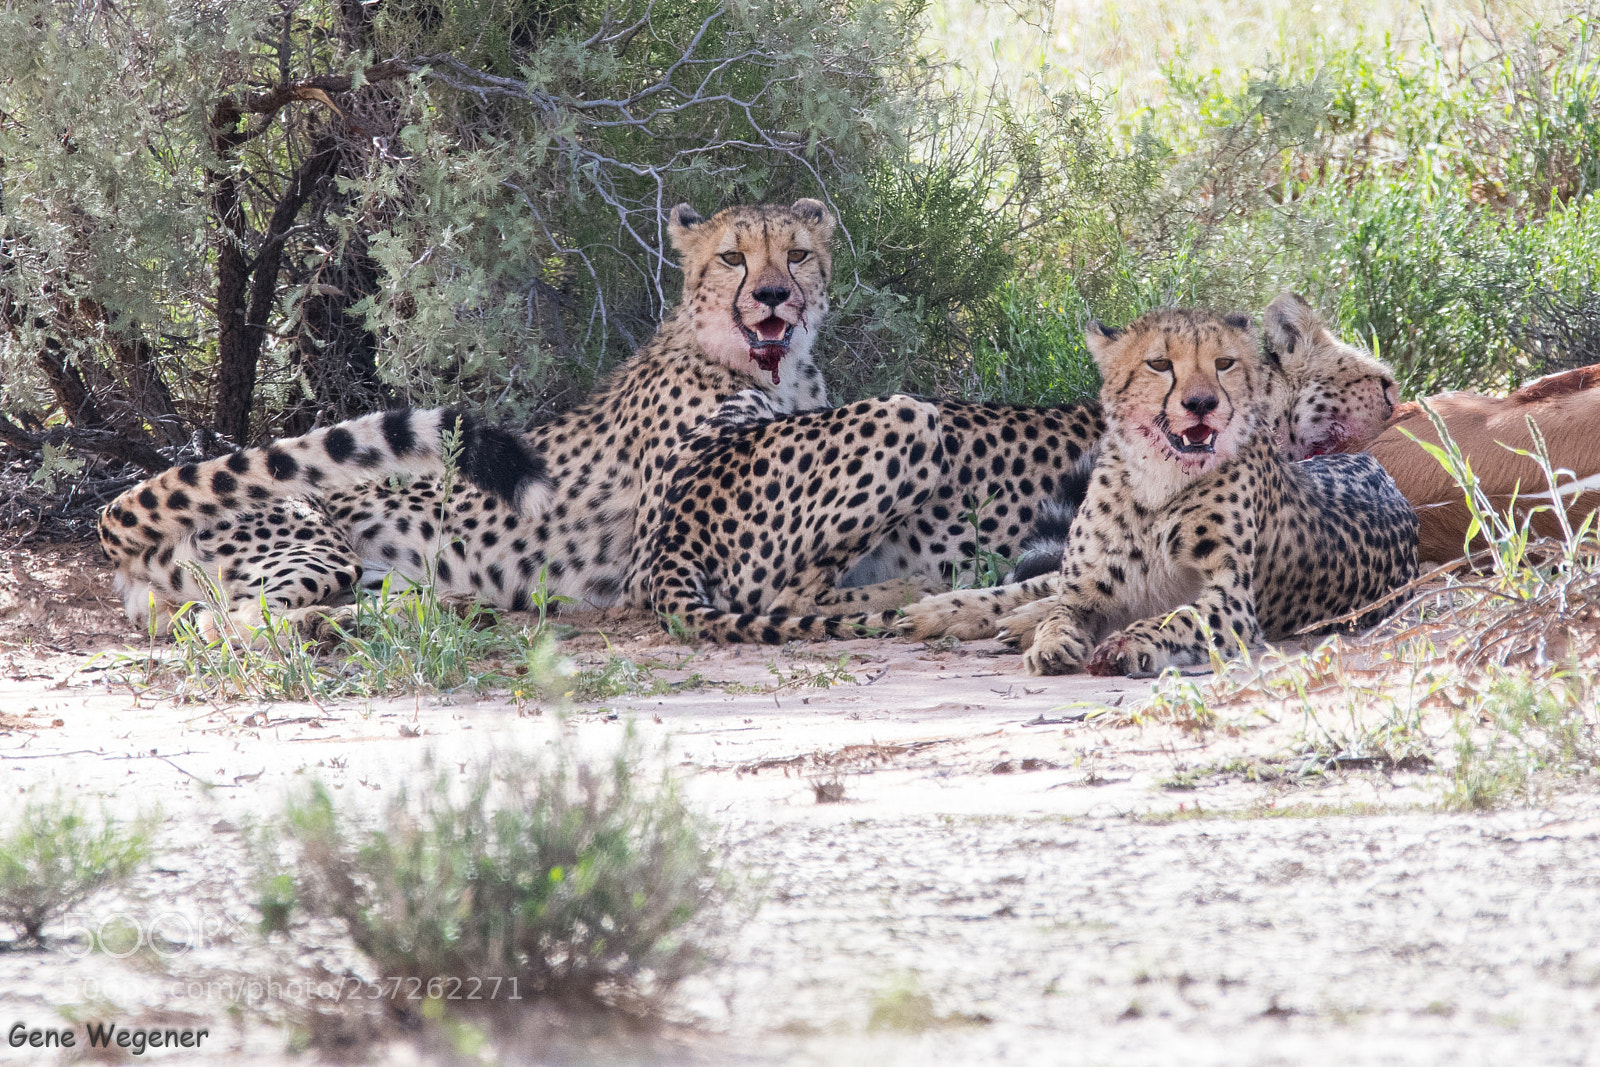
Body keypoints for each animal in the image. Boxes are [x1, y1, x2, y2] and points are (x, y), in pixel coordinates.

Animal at [97, 199, 838, 635]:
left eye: (797, 253)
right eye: (733, 256)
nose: (774, 296)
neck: (773, 372)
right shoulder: (650, 556)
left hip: (359, 567)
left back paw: (441, 607)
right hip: (313, 549)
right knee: (231, 623)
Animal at [638, 292, 1402, 645]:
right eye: (1381, 381)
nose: (1402, 400)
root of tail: (678, 511)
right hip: (912, 416)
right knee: (784, 595)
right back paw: (909, 591)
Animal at [898, 302, 1418, 676]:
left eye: (1223, 364)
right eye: (1160, 364)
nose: (1201, 403)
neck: (1157, 480)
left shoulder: (1232, 600)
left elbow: (1176, 617)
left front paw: (1126, 641)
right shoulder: (1087, 579)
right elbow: (1061, 604)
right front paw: (1044, 632)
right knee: (1033, 586)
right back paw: (935, 611)